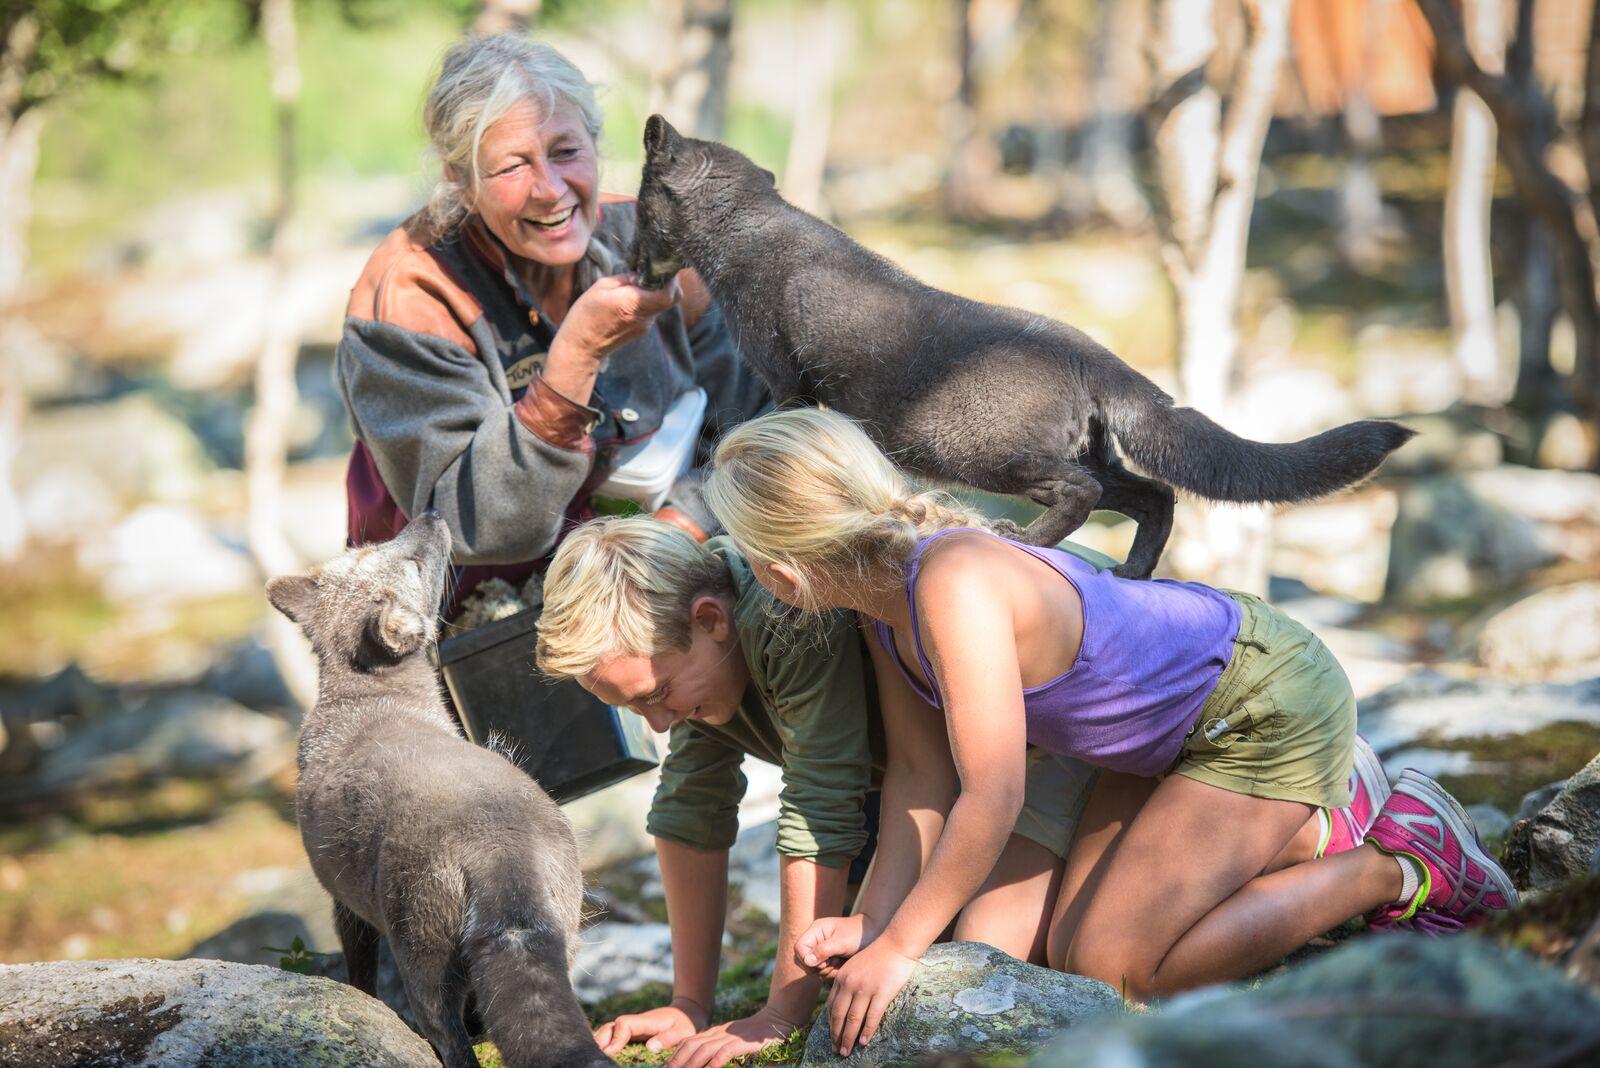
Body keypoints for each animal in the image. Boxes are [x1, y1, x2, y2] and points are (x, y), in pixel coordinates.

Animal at [266, 511, 612, 1068]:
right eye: (393, 552)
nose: (430, 514)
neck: (365, 700)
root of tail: (502, 851)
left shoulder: (344, 905)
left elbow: (360, 975)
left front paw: (359, 1002)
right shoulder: (345, 905)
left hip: (419, 953)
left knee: (447, 1033)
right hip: (561, 931)